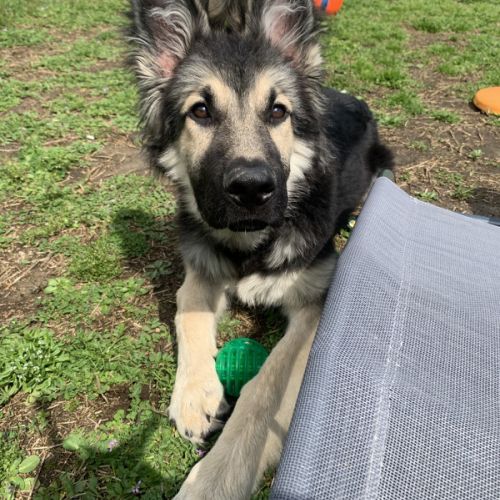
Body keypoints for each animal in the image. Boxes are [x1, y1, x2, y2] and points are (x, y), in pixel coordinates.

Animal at [127, 1, 393, 498]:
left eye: (277, 111)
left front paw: (217, 477)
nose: (252, 189)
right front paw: (195, 393)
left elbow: (265, 387)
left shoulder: (316, 302)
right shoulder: (203, 268)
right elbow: (187, 309)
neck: (251, 243)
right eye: (200, 111)